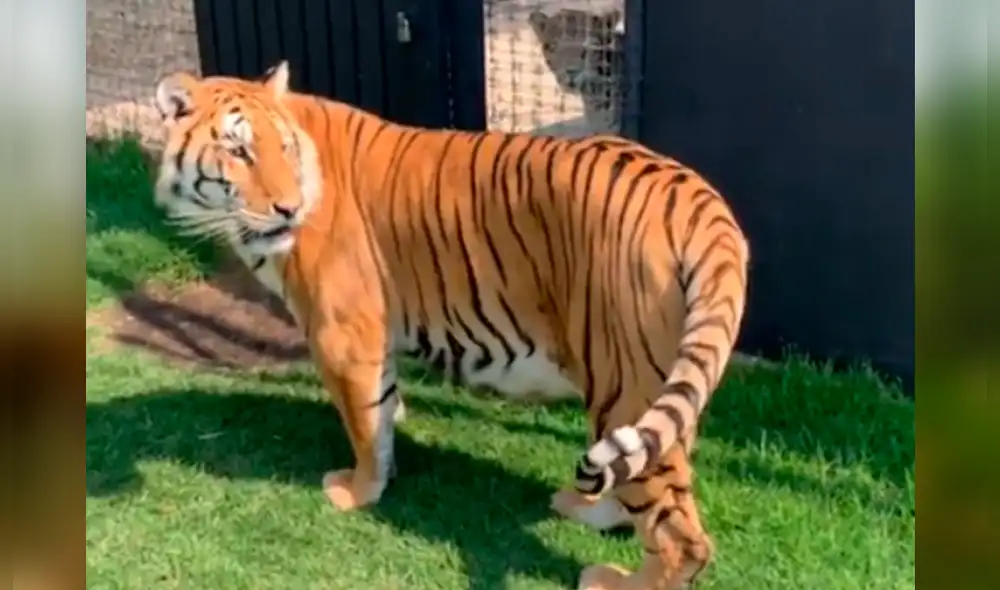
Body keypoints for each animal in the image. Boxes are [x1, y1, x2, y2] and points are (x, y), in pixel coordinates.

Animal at [152, 60, 750, 590]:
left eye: (283, 148)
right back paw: (590, 511)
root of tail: (701, 202)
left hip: (620, 379)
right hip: (659, 379)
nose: (288, 209)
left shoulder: (342, 335)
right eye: (238, 150)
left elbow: (364, 425)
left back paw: (615, 579)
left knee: (681, 532)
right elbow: (383, 406)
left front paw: (358, 492)